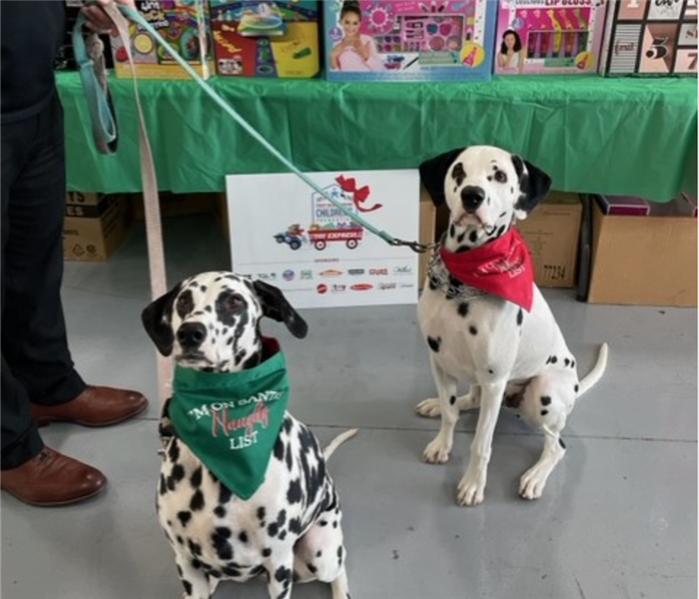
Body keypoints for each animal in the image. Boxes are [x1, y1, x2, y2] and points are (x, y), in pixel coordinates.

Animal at [144, 274, 360, 599]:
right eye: (183, 301)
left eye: (234, 301)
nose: (190, 333)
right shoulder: (186, 561)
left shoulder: (279, 564)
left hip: (320, 553)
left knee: (339, 567)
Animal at [416, 145, 608, 506]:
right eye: (458, 171)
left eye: (500, 175)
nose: (472, 195)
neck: (465, 279)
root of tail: (576, 385)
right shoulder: (439, 360)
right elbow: (450, 413)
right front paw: (442, 443)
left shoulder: (495, 380)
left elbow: (481, 444)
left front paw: (473, 484)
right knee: (470, 399)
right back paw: (440, 403)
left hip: (541, 395)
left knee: (557, 445)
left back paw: (535, 476)